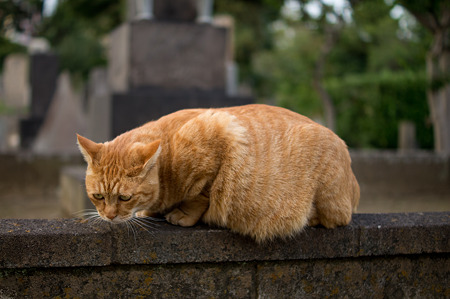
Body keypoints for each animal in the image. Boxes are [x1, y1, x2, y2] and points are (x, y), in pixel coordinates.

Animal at [76, 104, 358, 243]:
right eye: (98, 196)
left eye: (124, 198)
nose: (109, 216)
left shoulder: (220, 136)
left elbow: (199, 195)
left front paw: (182, 214)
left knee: (337, 218)